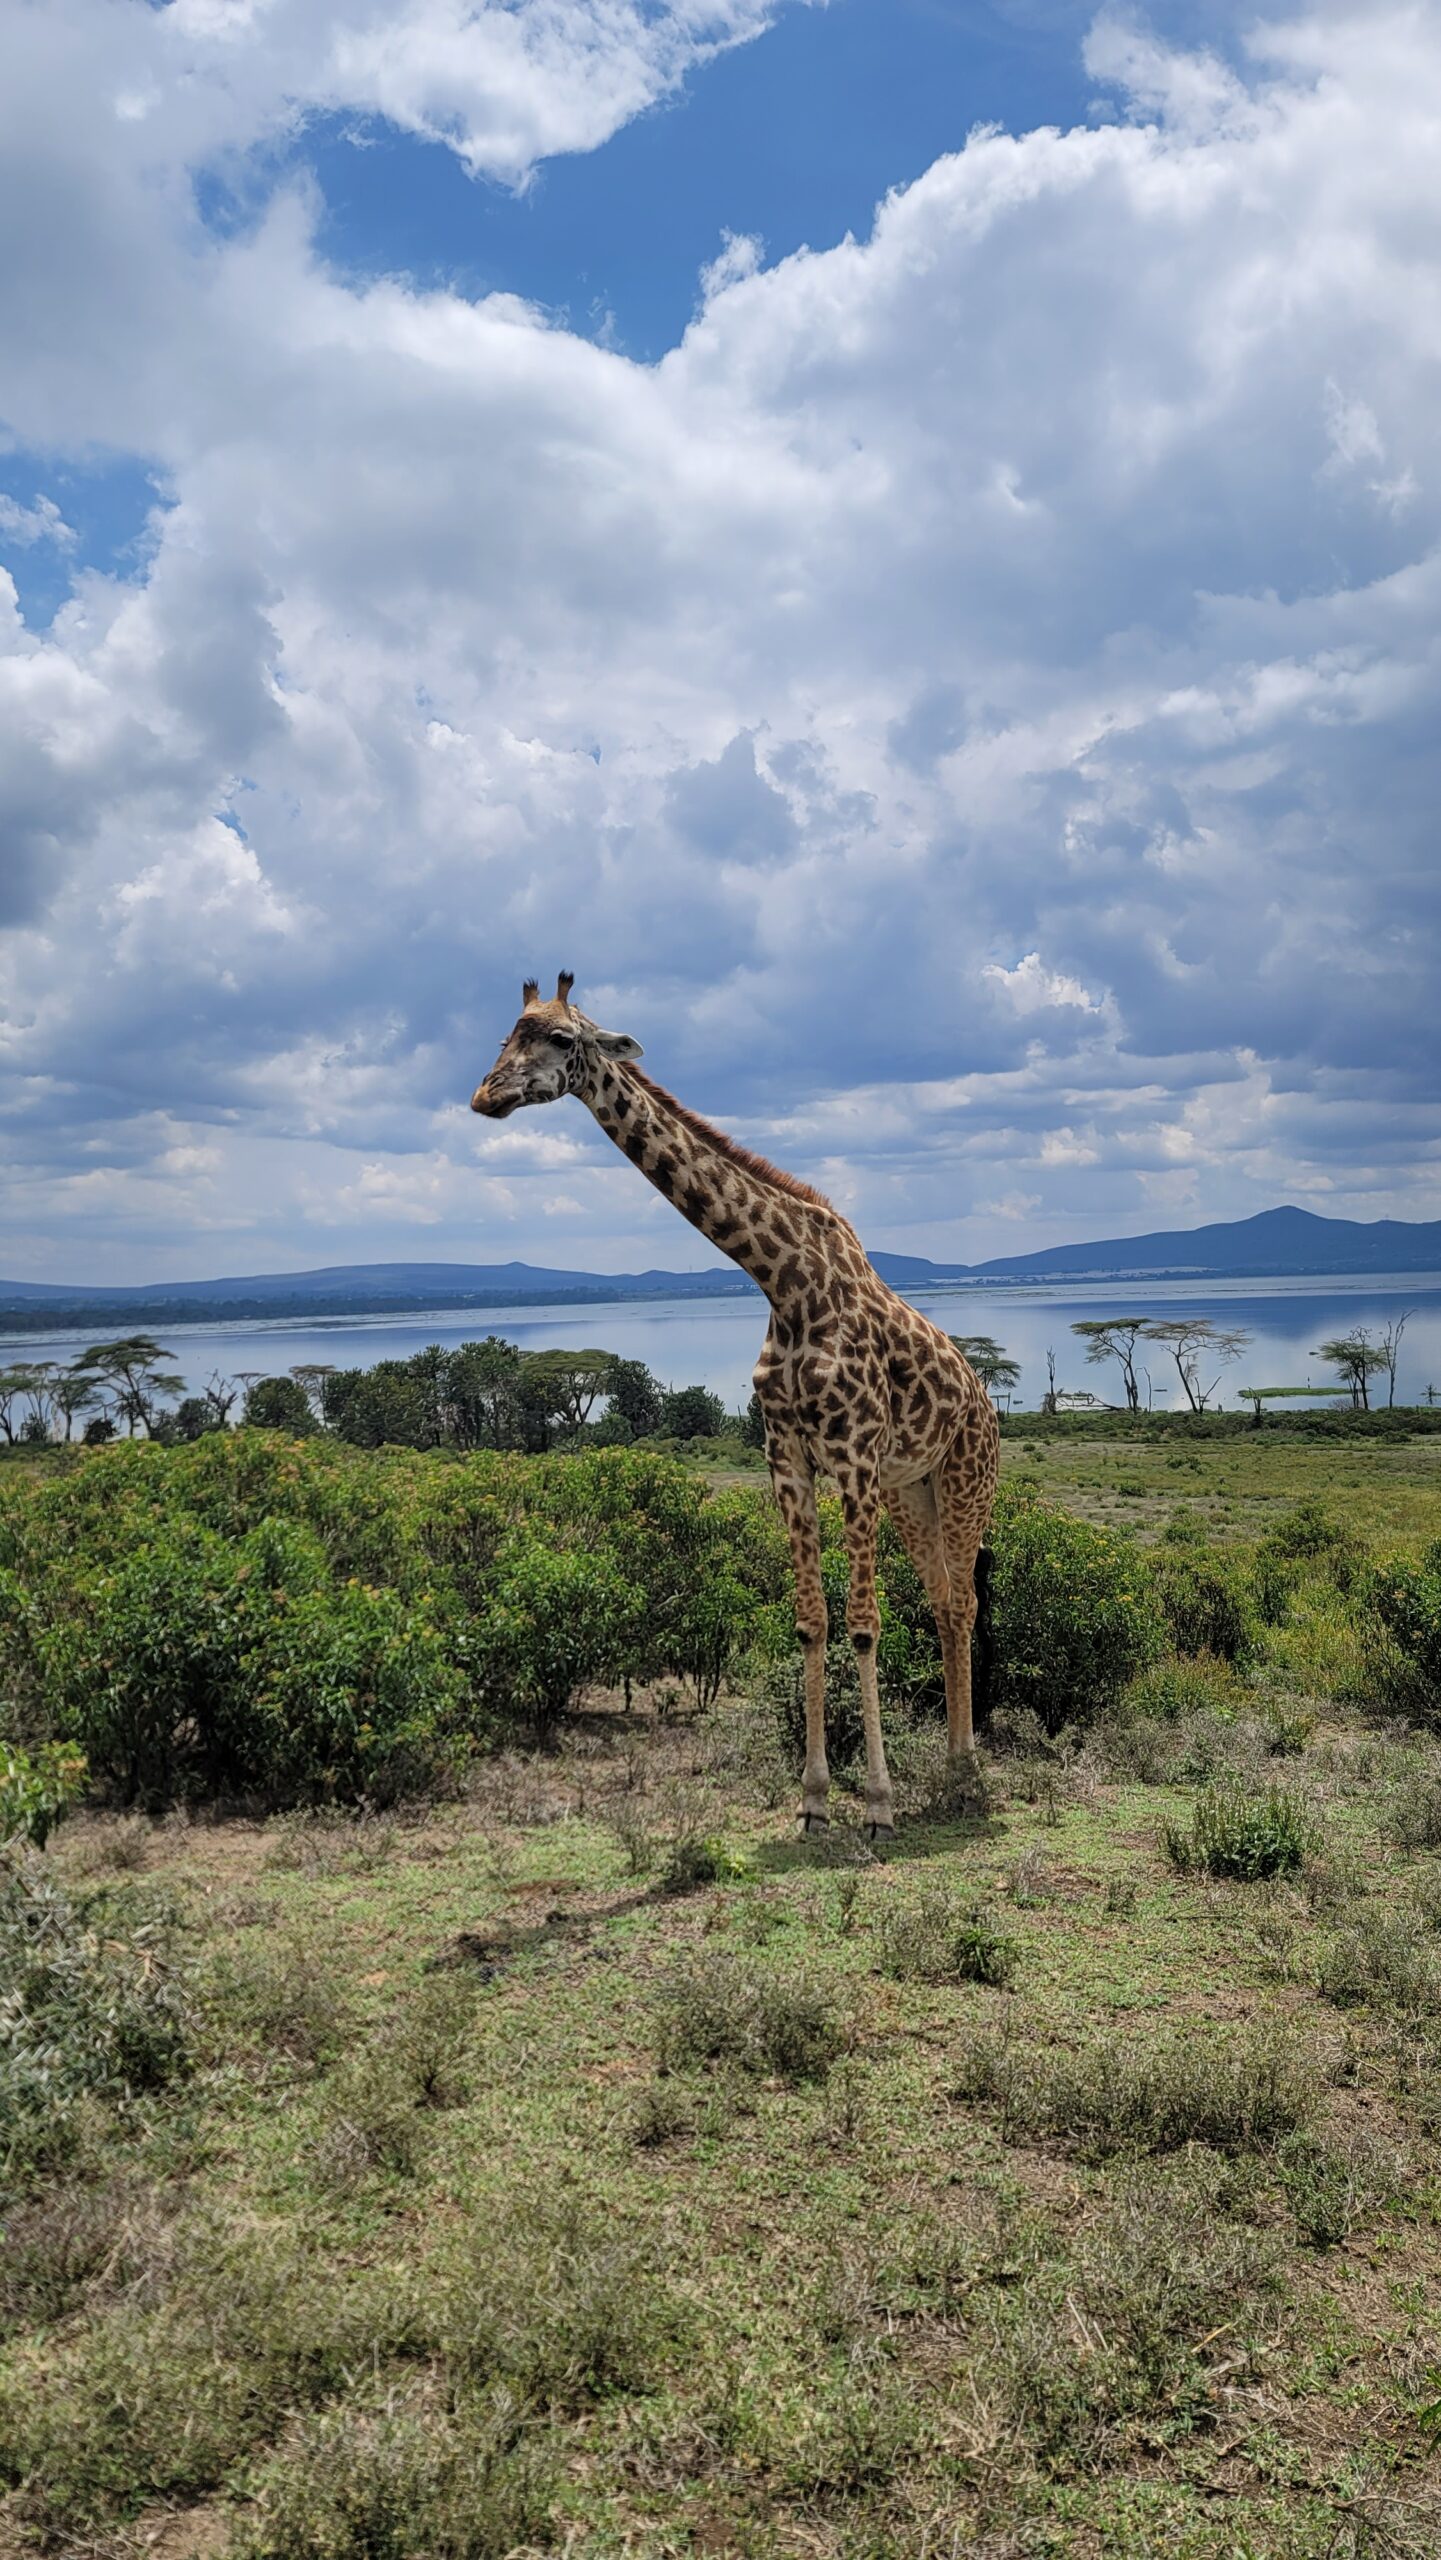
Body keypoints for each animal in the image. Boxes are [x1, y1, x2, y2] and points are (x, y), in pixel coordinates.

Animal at [471, 976, 1000, 1836]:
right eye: (506, 1035)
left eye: (559, 1039)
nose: (485, 1096)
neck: (781, 1282)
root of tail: (984, 1399)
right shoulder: (788, 1459)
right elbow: (811, 1621)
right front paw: (814, 1801)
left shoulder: (853, 1459)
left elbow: (863, 1627)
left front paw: (877, 1805)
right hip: (911, 1490)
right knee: (947, 1604)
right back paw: (954, 1772)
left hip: (964, 1481)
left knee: (965, 1603)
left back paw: (966, 1774)